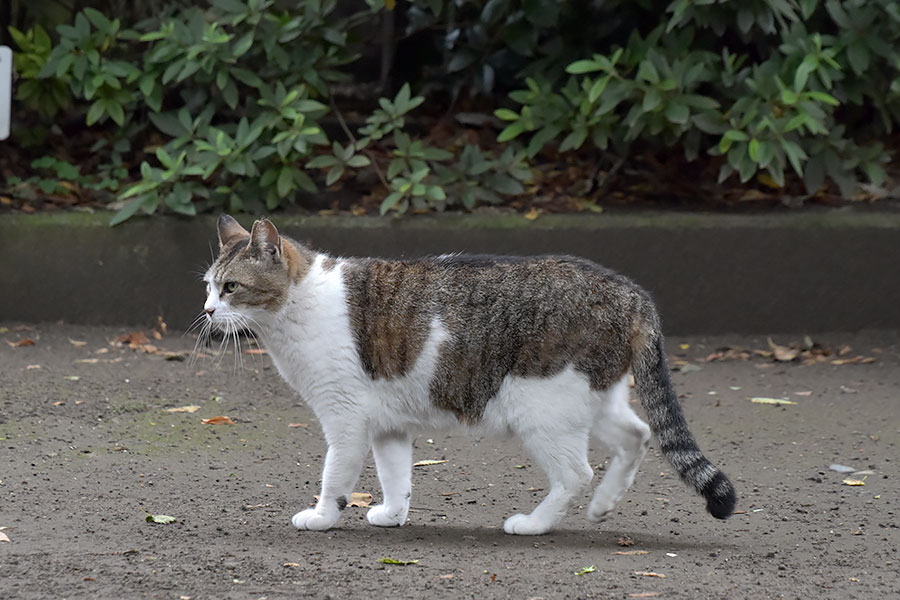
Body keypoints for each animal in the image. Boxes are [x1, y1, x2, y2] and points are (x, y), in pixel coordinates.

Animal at [204, 216, 740, 536]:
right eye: (209, 286)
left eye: (231, 288)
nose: (207, 311)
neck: (299, 306)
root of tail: (630, 291)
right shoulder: (388, 424)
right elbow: (395, 476)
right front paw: (392, 515)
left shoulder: (344, 418)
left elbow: (335, 474)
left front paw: (321, 516)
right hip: (591, 398)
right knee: (638, 435)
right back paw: (603, 505)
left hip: (542, 407)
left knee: (576, 472)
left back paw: (535, 523)